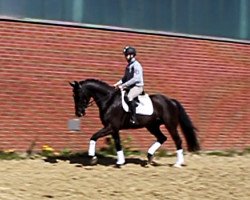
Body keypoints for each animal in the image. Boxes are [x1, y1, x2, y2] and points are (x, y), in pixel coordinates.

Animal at [69, 79, 200, 166]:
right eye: (73, 96)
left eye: (79, 95)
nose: (79, 113)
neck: (109, 100)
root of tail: (171, 101)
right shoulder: (113, 128)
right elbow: (117, 143)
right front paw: (120, 161)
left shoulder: (111, 127)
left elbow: (93, 137)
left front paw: (92, 157)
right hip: (152, 126)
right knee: (162, 138)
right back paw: (149, 156)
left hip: (170, 125)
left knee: (177, 140)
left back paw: (178, 163)